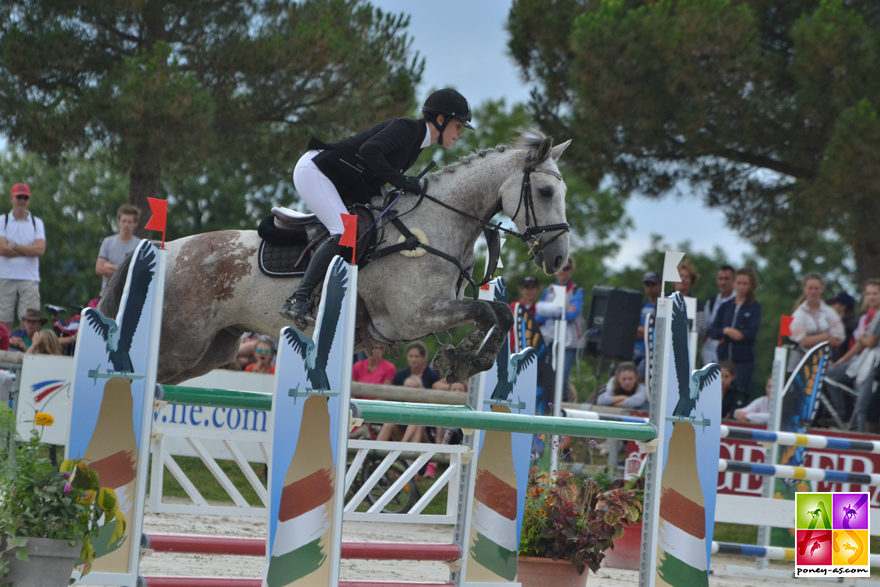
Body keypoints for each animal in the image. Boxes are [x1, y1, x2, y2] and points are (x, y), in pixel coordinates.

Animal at [101, 129, 572, 386]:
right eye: (546, 191)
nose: (559, 260)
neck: (435, 223)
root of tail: (165, 251)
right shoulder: (414, 316)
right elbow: (487, 312)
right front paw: (460, 359)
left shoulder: (433, 312)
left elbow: (499, 313)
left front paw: (467, 362)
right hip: (182, 342)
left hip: (212, 349)